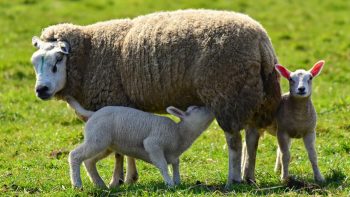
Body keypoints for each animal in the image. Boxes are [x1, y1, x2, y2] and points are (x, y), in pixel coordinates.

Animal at [65, 96, 213, 189]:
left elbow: (176, 163)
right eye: (196, 109)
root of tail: (92, 114)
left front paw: (177, 181)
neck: (179, 133)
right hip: (98, 139)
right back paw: (77, 185)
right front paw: (170, 184)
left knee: (89, 161)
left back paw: (100, 185)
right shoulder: (153, 144)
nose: (209, 107)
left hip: (104, 144)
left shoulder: (173, 155)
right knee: (75, 155)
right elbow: (163, 165)